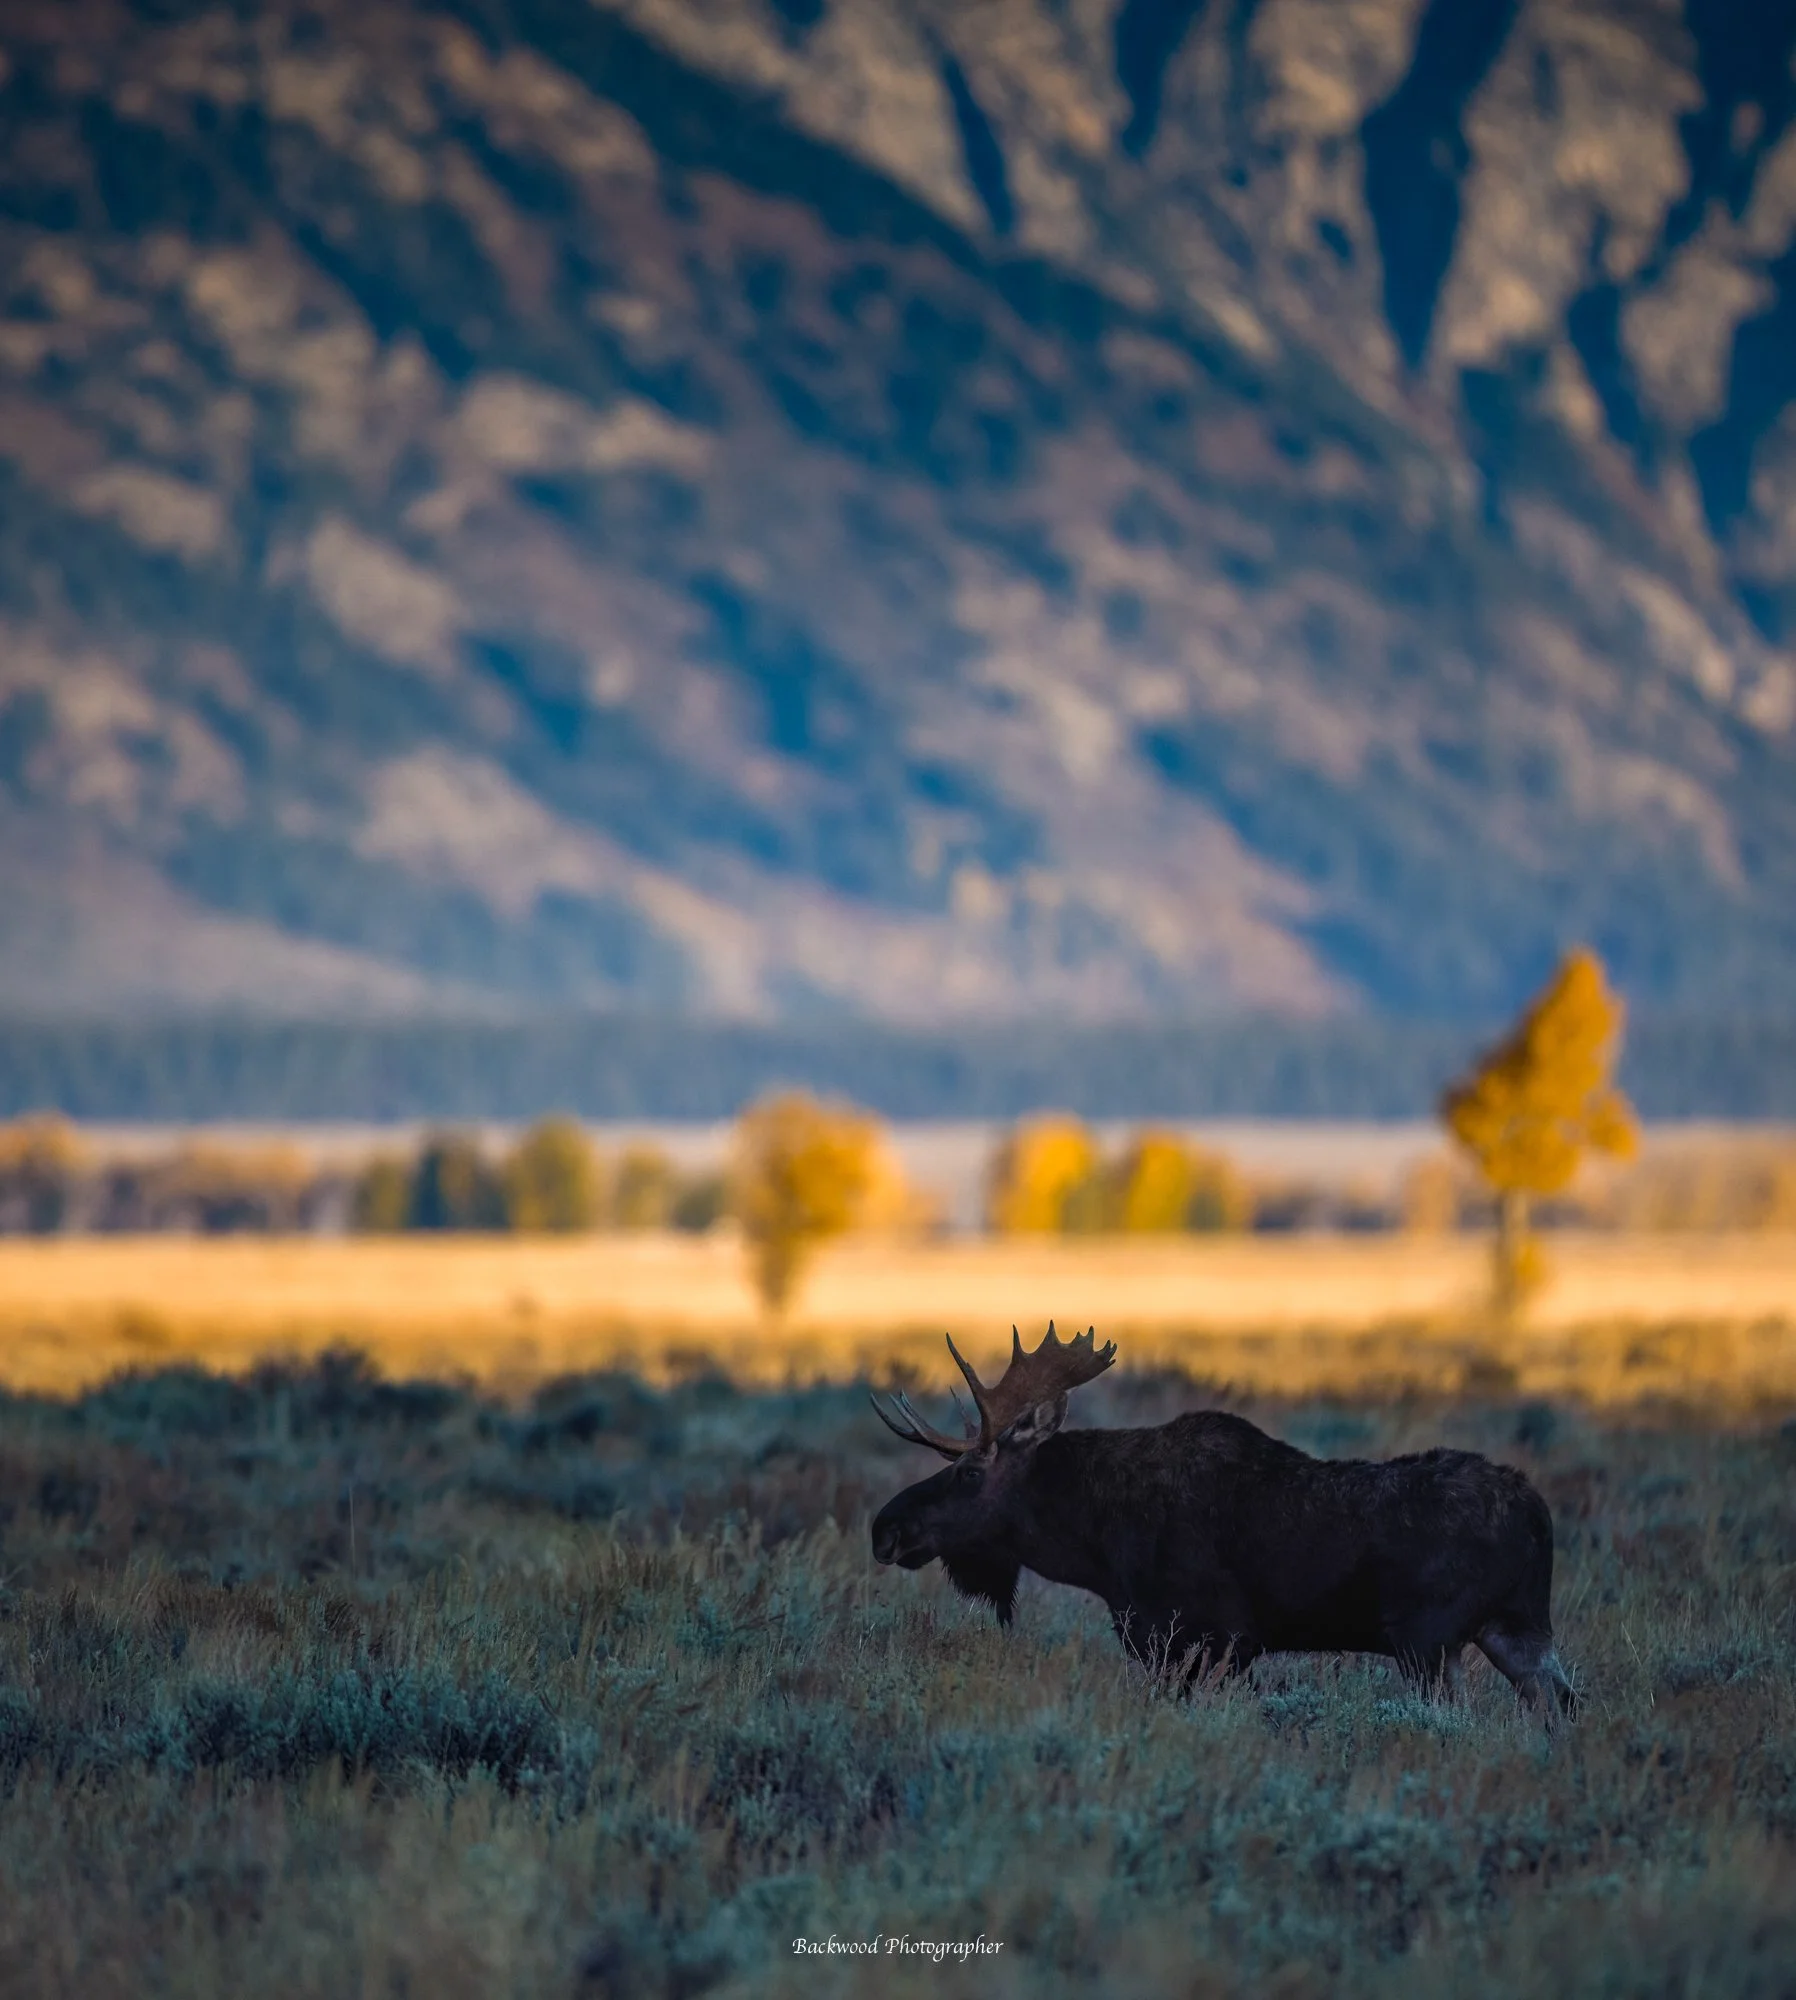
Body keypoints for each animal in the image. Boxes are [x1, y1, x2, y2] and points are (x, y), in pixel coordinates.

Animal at [869, 1323, 1577, 1715]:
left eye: (969, 1473)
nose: (885, 1529)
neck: (1094, 1545)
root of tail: (1537, 1514)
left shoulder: (1213, 1635)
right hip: (1515, 1629)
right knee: (1562, 1704)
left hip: (1428, 1640)